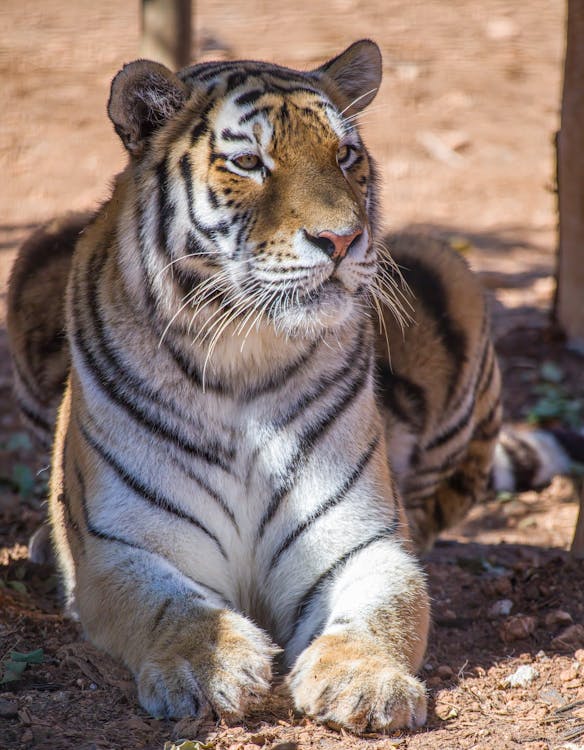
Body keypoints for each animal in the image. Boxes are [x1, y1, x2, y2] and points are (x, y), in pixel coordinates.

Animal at [5, 41, 584, 736]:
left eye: (345, 156)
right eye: (249, 162)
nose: (341, 240)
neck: (242, 358)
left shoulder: (362, 542)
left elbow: (381, 608)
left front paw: (365, 682)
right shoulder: (123, 547)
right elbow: (171, 606)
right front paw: (209, 667)